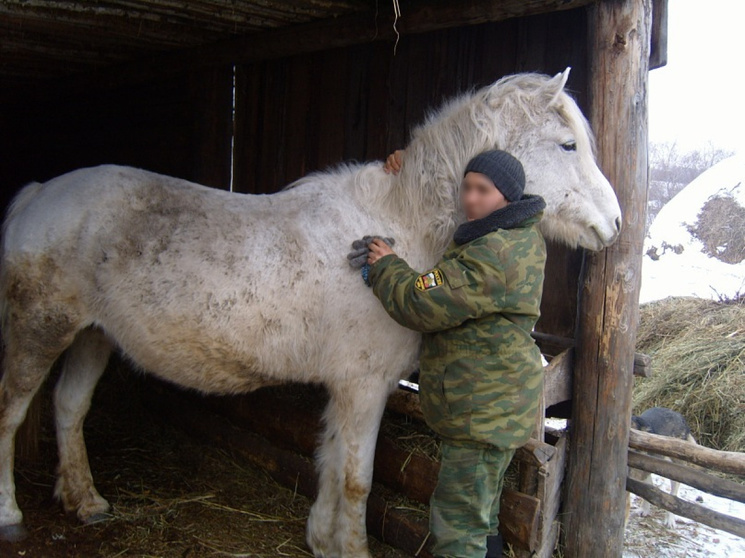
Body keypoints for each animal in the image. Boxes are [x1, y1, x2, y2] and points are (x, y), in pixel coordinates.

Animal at [0, 69, 616, 556]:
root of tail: (37, 194)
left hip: (93, 335)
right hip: (38, 331)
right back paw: (10, 515)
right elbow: (357, 479)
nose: (613, 223)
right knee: (10, 412)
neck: (398, 223)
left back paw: (86, 501)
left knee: (69, 406)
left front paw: (323, 541)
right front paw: (353, 549)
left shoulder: (346, 386)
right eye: (567, 145)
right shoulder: (364, 386)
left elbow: (330, 461)